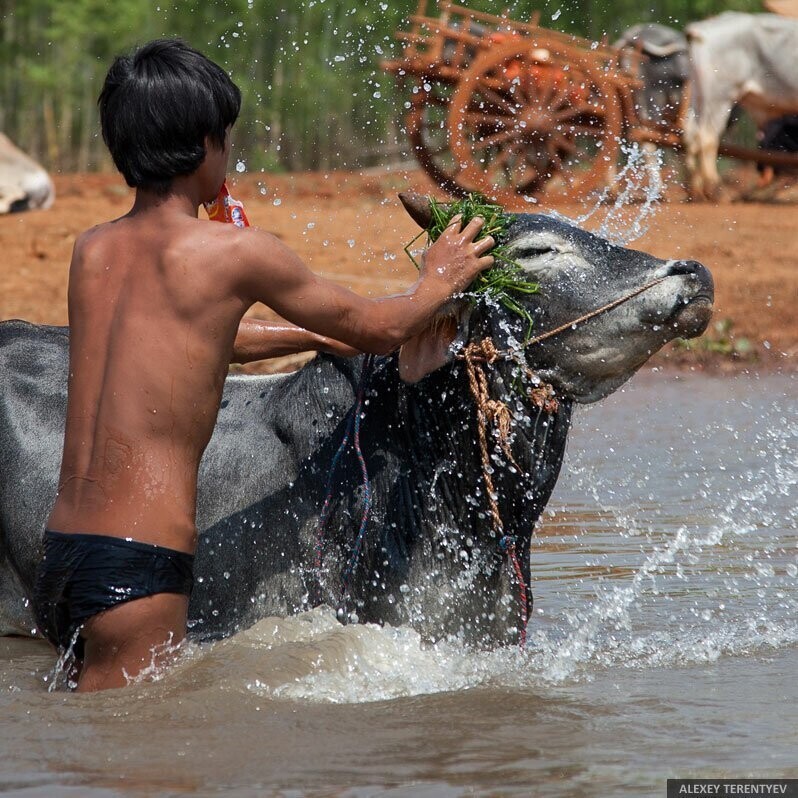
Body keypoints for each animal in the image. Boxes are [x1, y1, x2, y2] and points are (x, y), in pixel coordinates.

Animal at [684, 12, 798, 200]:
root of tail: (702, 29)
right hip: (720, 96)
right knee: (707, 137)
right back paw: (715, 188)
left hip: (700, 96)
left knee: (690, 135)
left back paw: (696, 190)